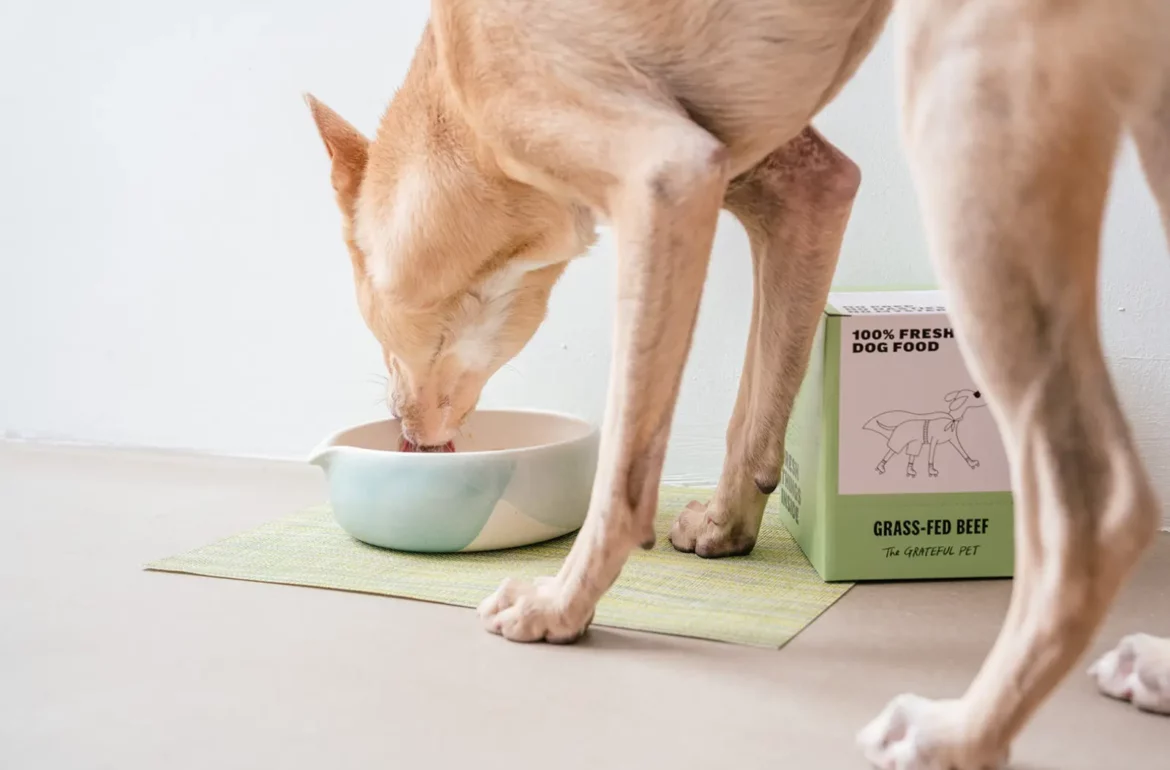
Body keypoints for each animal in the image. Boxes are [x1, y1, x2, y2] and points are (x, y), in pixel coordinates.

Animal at [304, 0, 1170, 762]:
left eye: (378, 336)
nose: (405, 435)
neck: (457, 105)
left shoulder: (665, 179)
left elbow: (623, 471)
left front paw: (562, 605)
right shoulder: (795, 188)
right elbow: (755, 402)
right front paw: (725, 525)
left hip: (965, 112)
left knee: (1098, 505)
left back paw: (958, 733)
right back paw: (1151, 671)